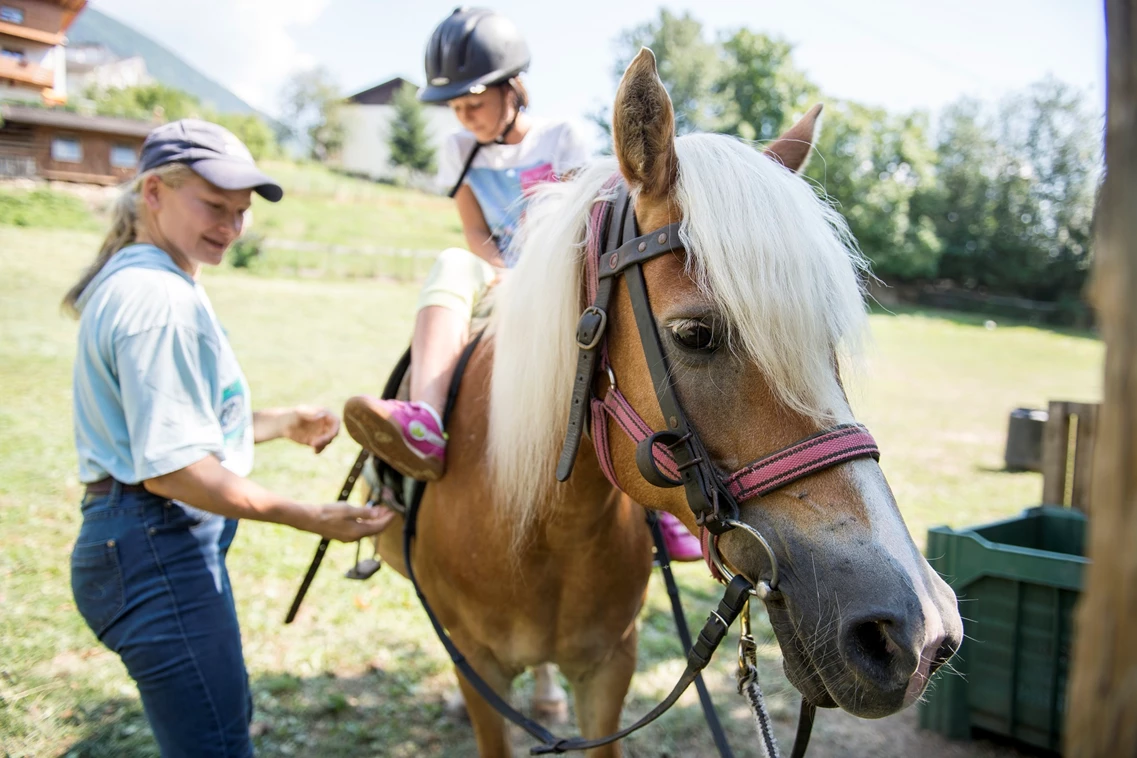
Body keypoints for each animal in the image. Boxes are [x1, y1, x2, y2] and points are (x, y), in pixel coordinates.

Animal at [363, 48, 959, 758]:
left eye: (829, 343)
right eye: (695, 334)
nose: (920, 632)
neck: (533, 529)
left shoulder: (608, 669)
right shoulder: (480, 669)